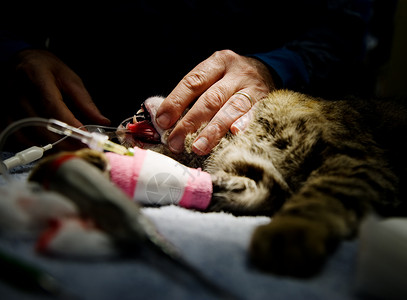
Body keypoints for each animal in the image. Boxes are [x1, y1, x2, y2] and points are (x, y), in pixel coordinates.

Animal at [29, 89, 407, 276]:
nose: (124, 120)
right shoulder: (253, 175)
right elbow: (226, 188)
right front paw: (88, 162)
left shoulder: (356, 158)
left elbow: (318, 198)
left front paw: (291, 232)